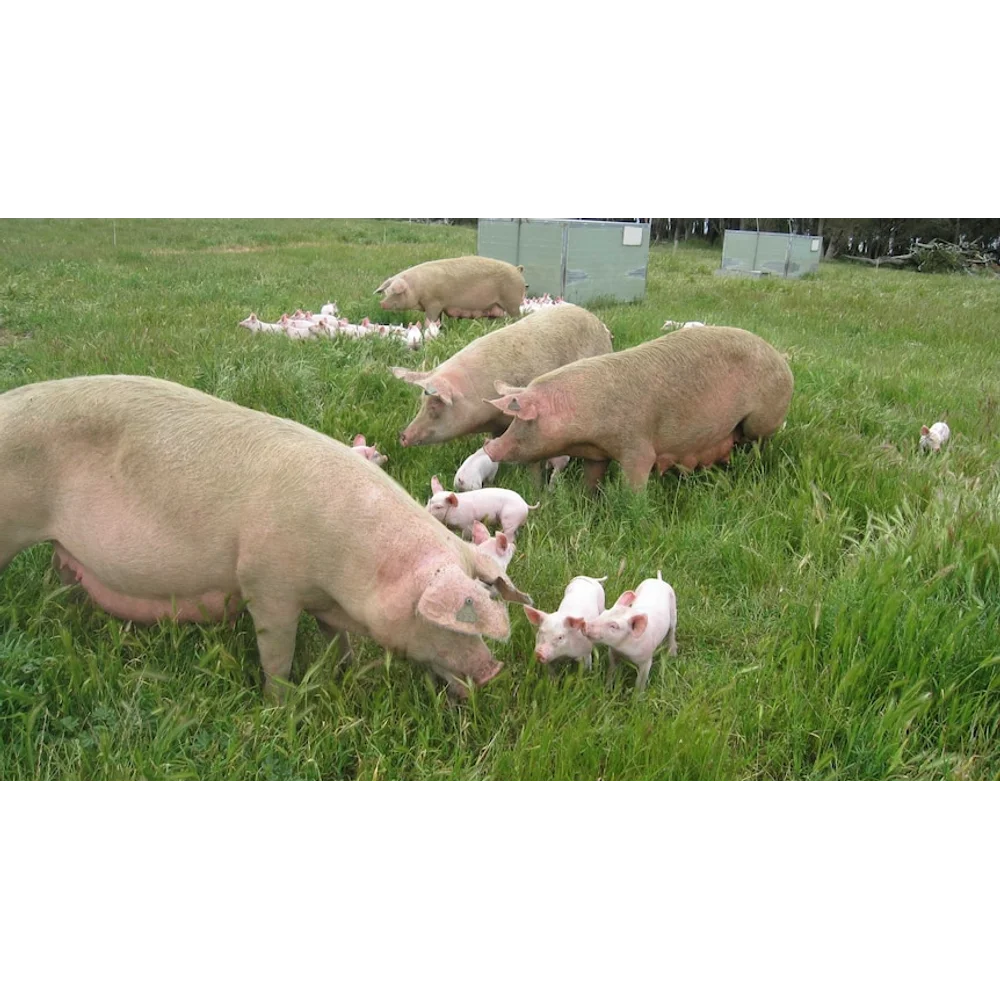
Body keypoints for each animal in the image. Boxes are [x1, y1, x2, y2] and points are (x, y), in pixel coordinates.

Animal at [0, 375, 534, 704]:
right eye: (455, 618)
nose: (494, 672)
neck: (351, 569)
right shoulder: (269, 584)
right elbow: (277, 651)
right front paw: (279, 703)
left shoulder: (326, 604)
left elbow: (337, 642)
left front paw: (344, 672)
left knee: (61, 573)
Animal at [375, 255, 526, 324]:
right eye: (387, 292)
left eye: (396, 292)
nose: (381, 303)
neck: (417, 288)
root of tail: (517, 269)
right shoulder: (439, 306)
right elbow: (438, 320)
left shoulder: (434, 303)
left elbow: (430, 318)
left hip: (512, 301)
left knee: (516, 316)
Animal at [483, 325, 794, 492]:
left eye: (524, 421)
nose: (490, 446)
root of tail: (781, 357)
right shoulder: (597, 454)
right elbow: (592, 480)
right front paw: (587, 500)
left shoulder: (637, 446)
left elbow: (635, 483)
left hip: (762, 419)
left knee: (759, 444)